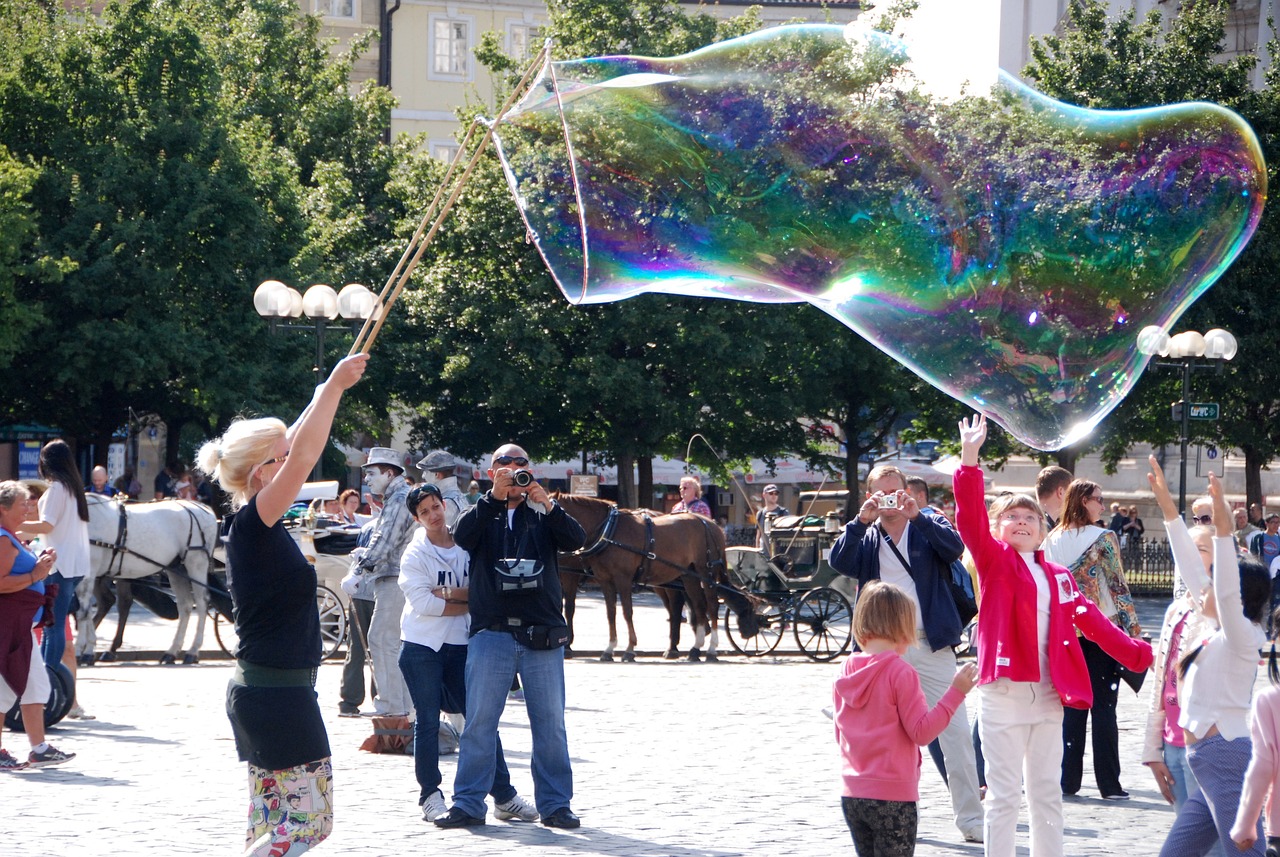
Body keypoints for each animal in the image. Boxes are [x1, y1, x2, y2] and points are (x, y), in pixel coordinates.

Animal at [78, 493, 217, 670]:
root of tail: (204, 509)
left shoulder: (89, 572)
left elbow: (84, 611)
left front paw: (85, 651)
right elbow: (83, 610)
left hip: (196, 563)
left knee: (201, 603)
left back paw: (193, 651)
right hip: (176, 568)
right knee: (185, 605)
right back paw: (172, 652)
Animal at [555, 496, 752, 665]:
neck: (608, 531)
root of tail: (710, 523)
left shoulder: (621, 579)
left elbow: (625, 612)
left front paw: (629, 649)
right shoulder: (605, 581)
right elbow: (610, 614)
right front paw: (609, 649)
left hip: (706, 573)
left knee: (710, 606)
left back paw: (710, 649)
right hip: (687, 576)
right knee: (697, 605)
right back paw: (694, 649)